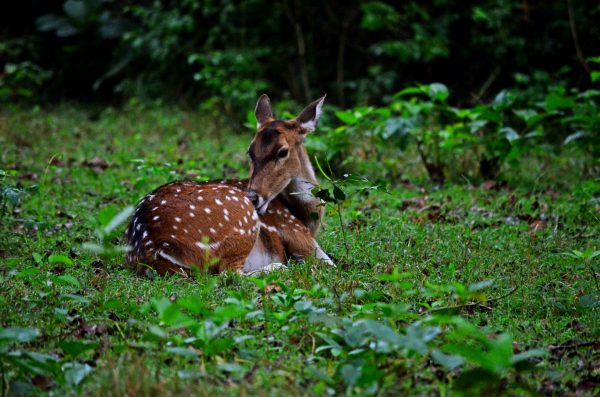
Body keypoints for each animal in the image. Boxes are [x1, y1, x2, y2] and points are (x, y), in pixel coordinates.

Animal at [125, 94, 332, 274]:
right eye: (250, 151)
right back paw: (278, 267)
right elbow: (329, 264)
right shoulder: (295, 231)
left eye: (282, 152)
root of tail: (154, 247)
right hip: (242, 219)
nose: (253, 196)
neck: (303, 217)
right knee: (230, 274)